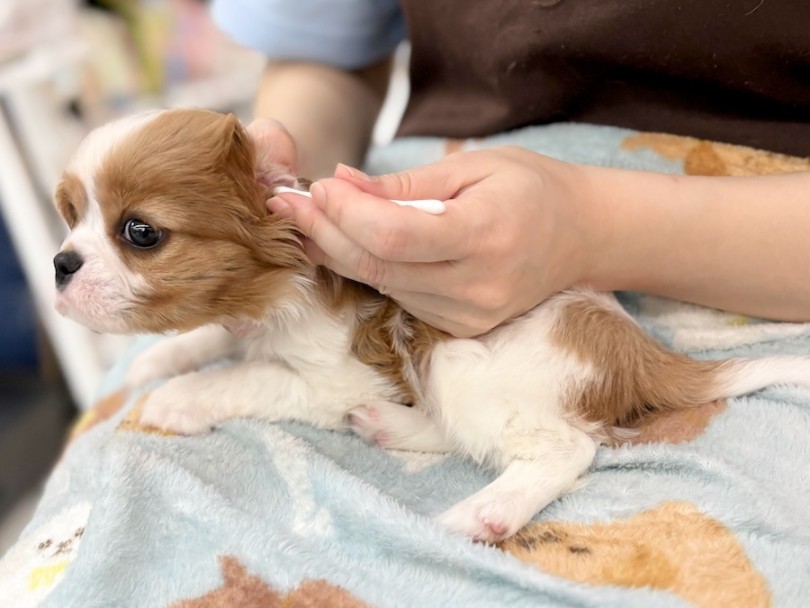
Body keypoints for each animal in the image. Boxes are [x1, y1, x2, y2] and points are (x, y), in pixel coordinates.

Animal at [53, 108, 804, 540]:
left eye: (140, 232)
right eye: (71, 216)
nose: (60, 264)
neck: (270, 296)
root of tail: (640, 350)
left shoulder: (330, 375)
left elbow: (252, 377)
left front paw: (179, 398)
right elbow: (218, 335)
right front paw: (163, 359)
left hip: (464, 364)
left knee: (565, 448)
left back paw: (485, 512)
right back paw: (390, 427)